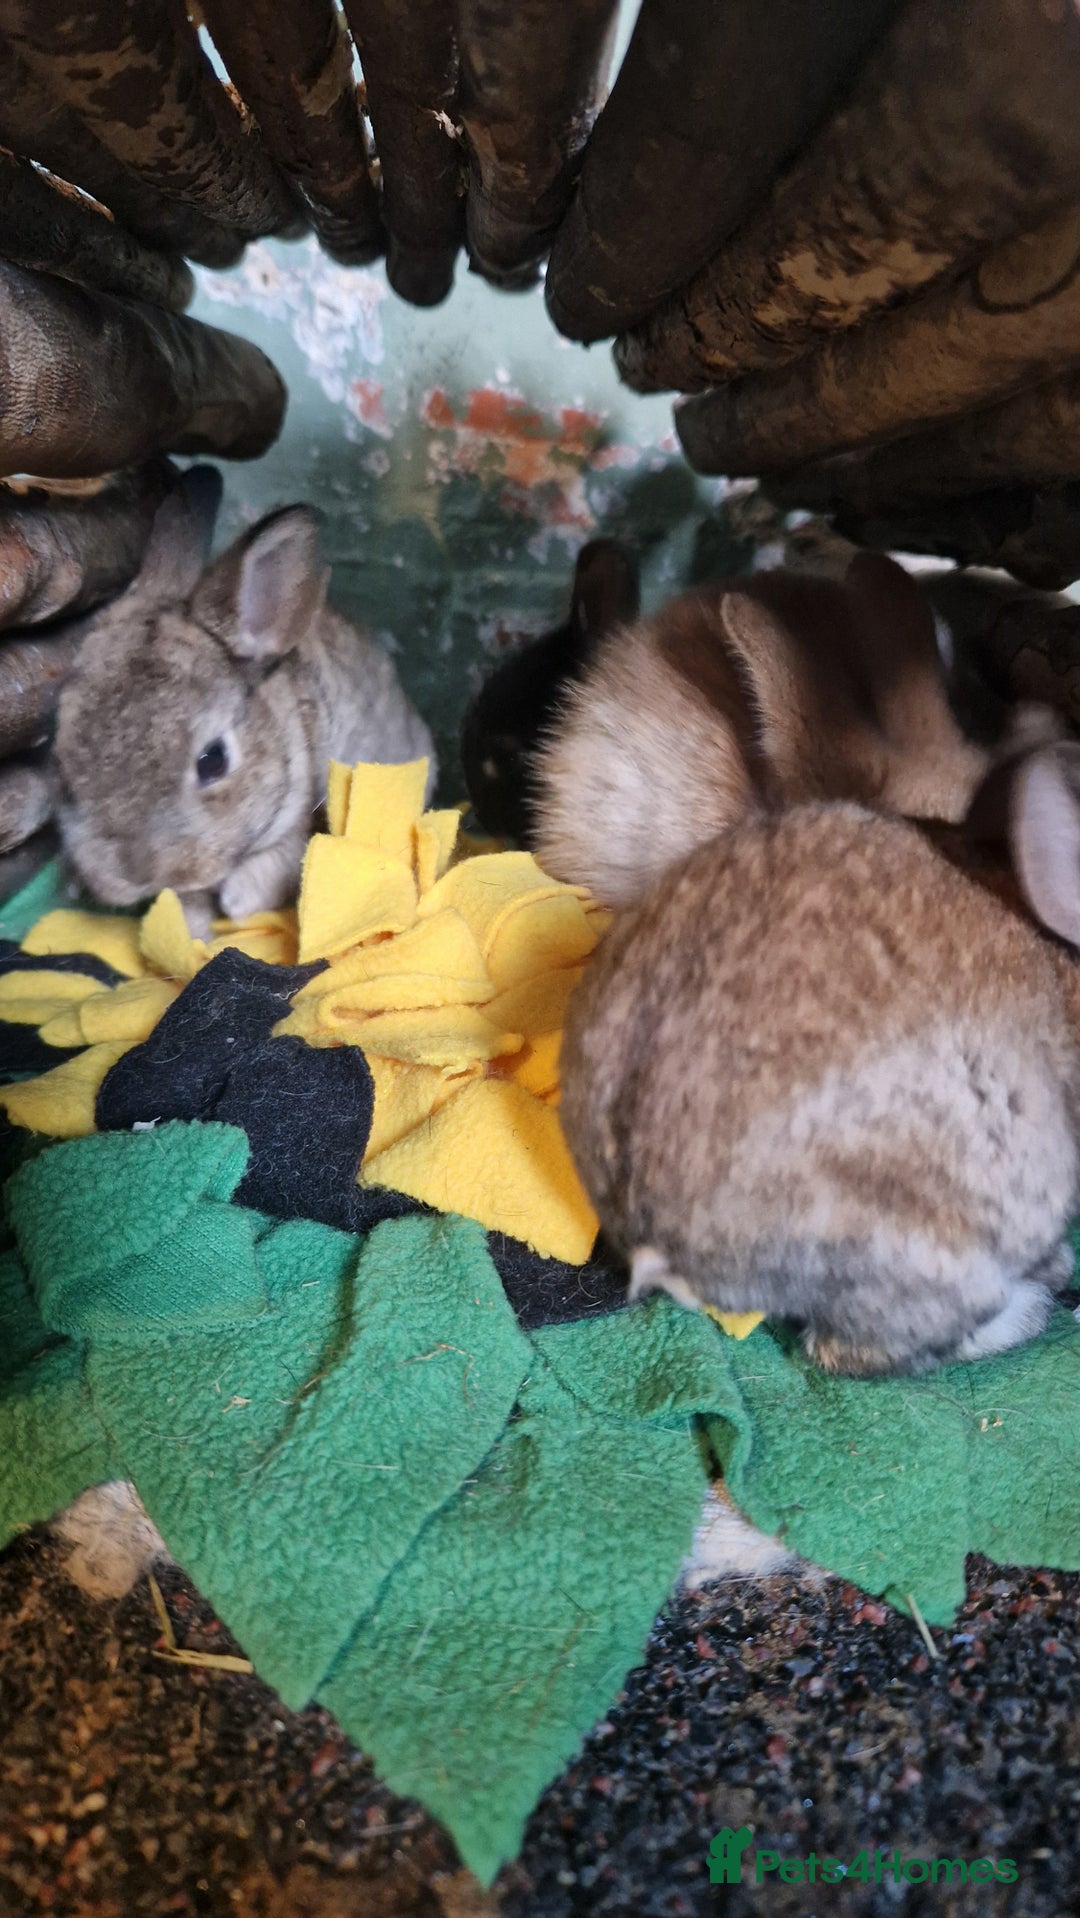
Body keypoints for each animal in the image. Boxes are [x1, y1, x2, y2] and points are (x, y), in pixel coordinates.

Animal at [51, 466, 435, 931]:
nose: (134, 876)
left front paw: (235, 902)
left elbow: (278, 863)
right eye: (61, 764)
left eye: (213, 761)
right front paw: (189, 924)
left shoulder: (296, 821)